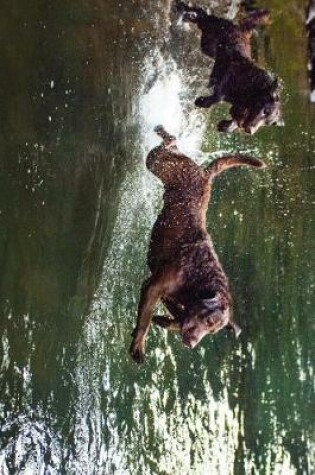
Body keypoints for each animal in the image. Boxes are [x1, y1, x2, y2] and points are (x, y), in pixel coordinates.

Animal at [130, 126, 266, 364]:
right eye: (209, 321)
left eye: (212, 331)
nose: (192, 345)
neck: (197, 278)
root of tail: (205, 174)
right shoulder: (153, 287)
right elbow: (145, 321)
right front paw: (138, 344)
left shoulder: (170, 298)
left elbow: (176, 320)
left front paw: (163, 322)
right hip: (158, 163)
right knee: (168, 144)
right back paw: (163, 132)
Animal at [175, 1, 284, 134]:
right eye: (265, 111)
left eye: (269, 123)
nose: (250, 131)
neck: (251, 90)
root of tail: (240, 27)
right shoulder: (228, 76)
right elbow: (217, 97)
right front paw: (201, 101)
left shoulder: (239, 109)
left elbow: (233, 123)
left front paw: (224, 126)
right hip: (208, 39)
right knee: (202, 15)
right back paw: (185, 11)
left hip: (209, 48)